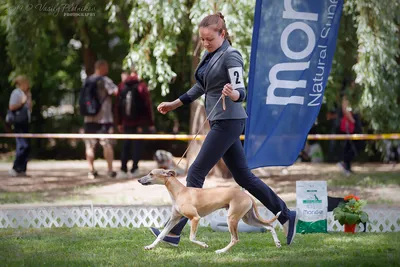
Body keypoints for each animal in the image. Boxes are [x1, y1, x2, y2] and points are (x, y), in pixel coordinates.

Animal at [138, 169, 282, 254]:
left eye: (151, 174)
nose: (139, 180)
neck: (180, 191)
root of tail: (248, 196)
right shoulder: (174, 219)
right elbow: (161, 235)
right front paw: (150, 247)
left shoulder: (195, 218)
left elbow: (191, 237)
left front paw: (204, 245)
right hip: (248, 218)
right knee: (269, 226)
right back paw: (278, 243)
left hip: (232, 219)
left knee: (235, 239)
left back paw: (221, 251)